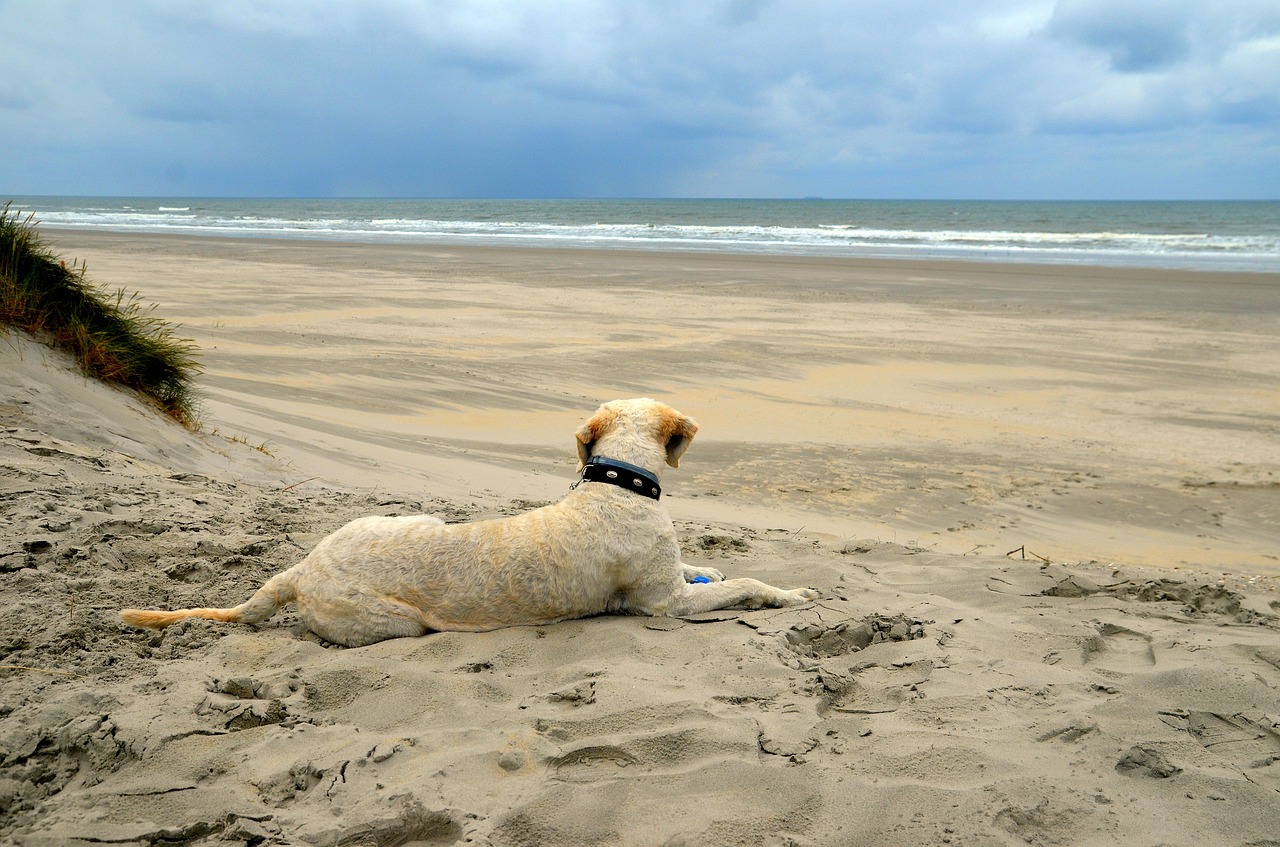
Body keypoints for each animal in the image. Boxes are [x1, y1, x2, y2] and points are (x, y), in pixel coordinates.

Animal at [122, 401, 819, 647]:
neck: (615, 487)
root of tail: (300, 571)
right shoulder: (664, 605)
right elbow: (746, 587)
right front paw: (792, 593)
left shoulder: (672, 577)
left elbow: (708, 570)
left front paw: (715, 567)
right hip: (393, 620)